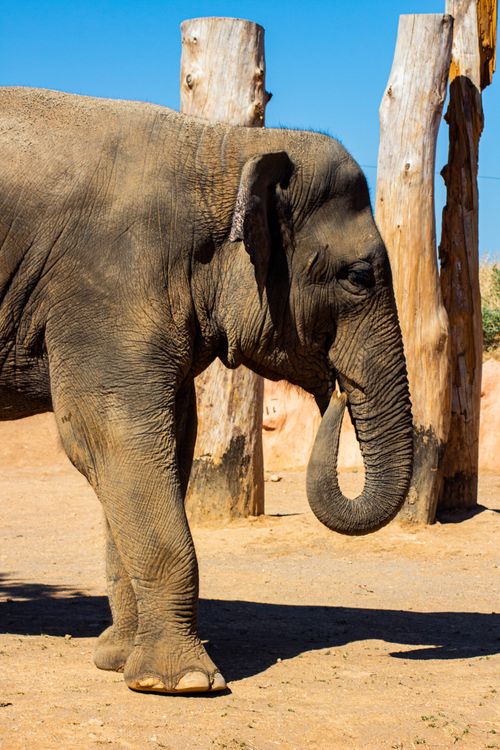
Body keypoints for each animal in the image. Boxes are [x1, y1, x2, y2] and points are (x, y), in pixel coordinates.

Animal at [0, 87, 413, 694]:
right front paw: (184, 682)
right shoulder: (106, 283)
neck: (222, 148)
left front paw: (119, 661)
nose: (337, 392)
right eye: (358, 277)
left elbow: (165, 441)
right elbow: (108, 435)